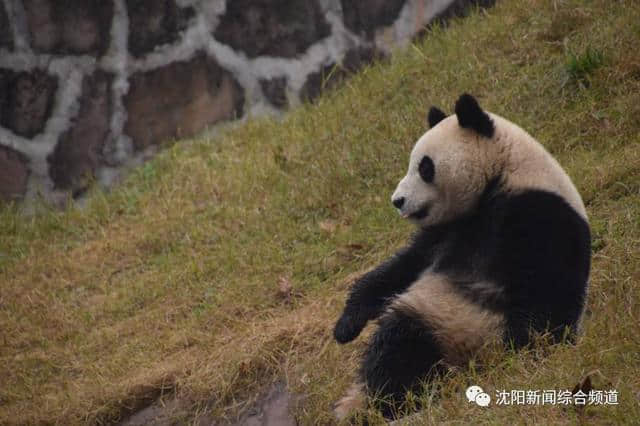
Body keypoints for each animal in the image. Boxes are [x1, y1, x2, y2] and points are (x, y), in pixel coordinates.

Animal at [332, 92, 592, 420]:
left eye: (425, 167)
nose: (397, 201)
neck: (501, 176)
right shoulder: (447, 230)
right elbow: (399, 269)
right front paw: (344, 327)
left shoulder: (539, 213)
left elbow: (547, 286)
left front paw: (529, 351)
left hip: (455, 325)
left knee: (403, 343)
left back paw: (383, 401)